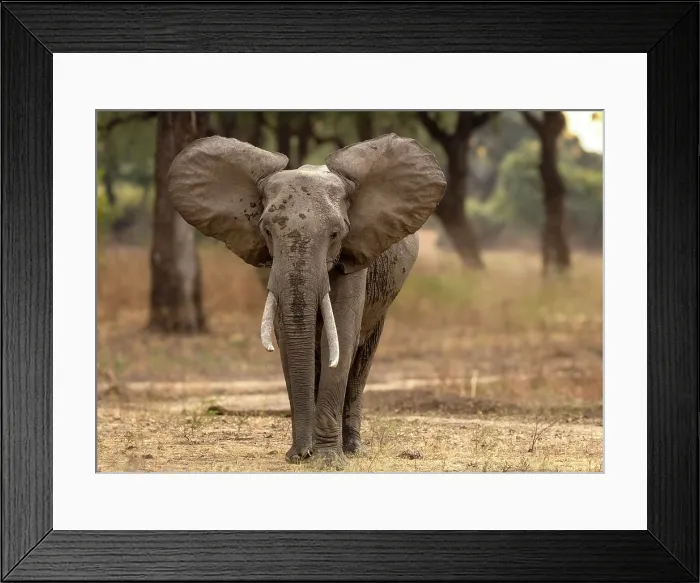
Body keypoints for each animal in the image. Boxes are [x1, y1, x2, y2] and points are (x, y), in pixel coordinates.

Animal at [168, 133, 446, 464]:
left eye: (336, 233)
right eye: (266, 230)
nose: (301, 454)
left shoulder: (355, 256)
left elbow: (340, 337)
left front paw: (328, 461)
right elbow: (288, 341)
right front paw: (302, 454)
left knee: (361, 359)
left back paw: (352, 448)